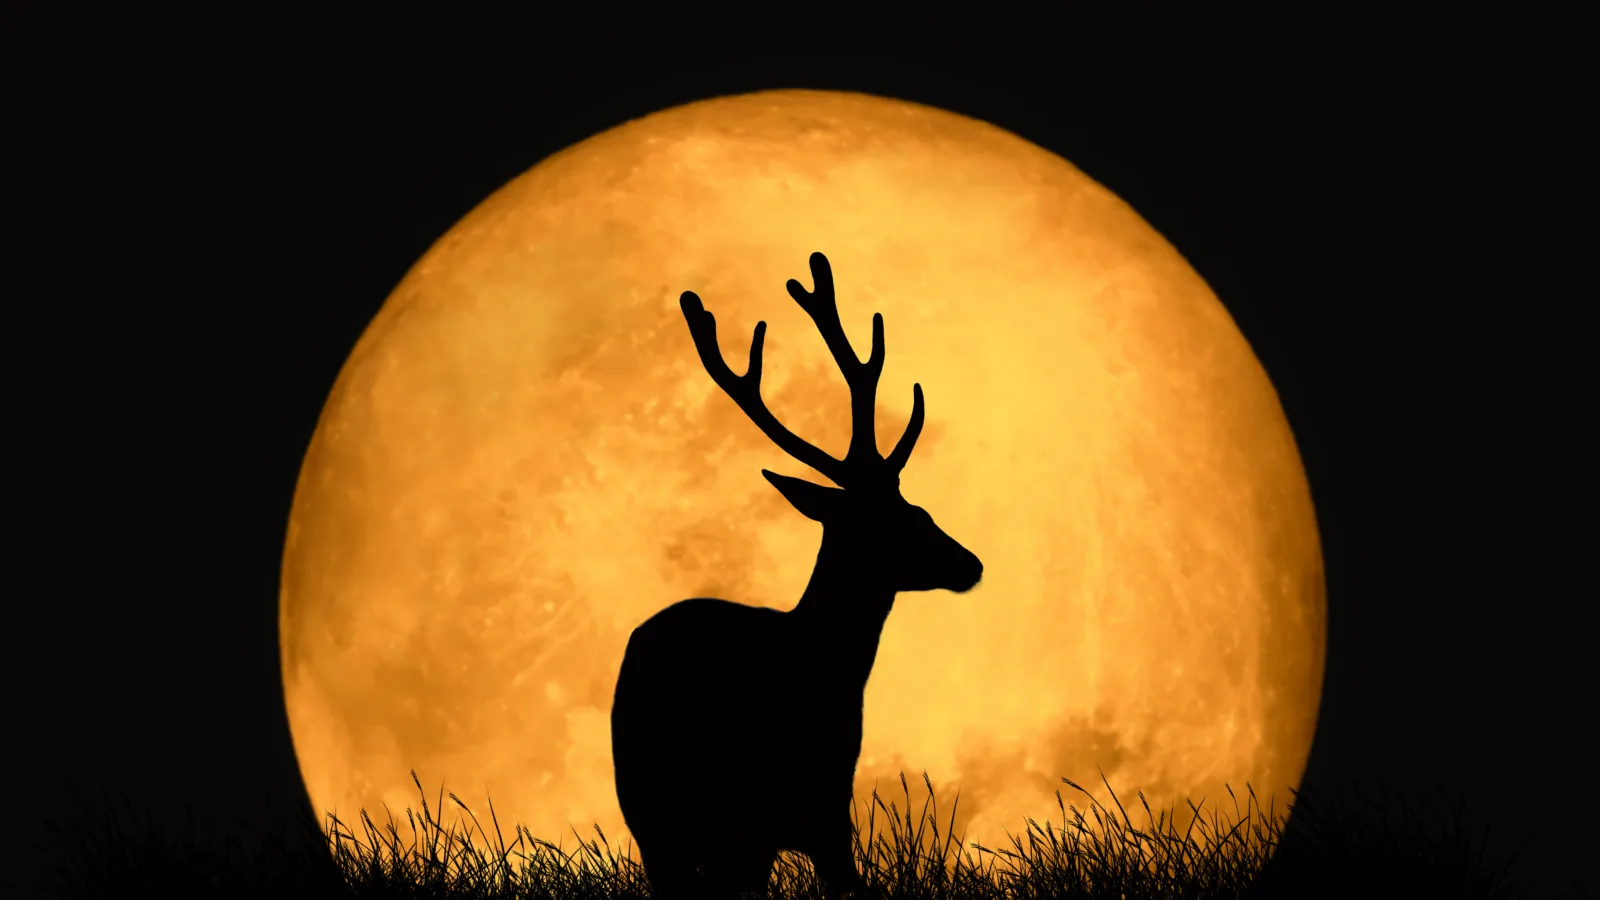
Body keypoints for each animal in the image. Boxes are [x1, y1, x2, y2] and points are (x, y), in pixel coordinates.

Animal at [610, 252, 984, 899]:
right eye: (903, 518)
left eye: (918, 508)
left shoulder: (812, 819)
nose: (970, 562)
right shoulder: (799, 819)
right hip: (665, 815)